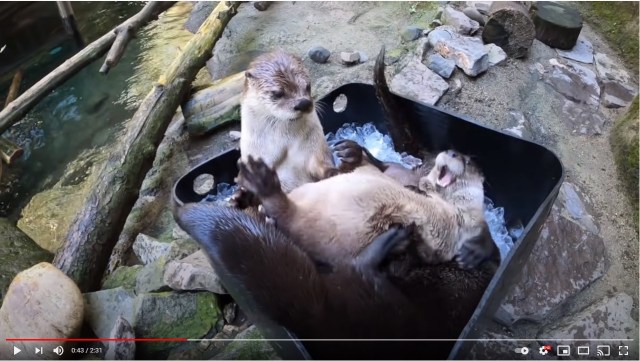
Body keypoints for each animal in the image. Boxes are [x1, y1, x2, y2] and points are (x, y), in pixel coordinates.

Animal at [232, 49, 338, 207]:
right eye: (277, 93)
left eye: (308, 85)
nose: (303, 103)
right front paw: (241, 196)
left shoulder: (315, 148)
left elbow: (321, 166)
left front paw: (334, 172)